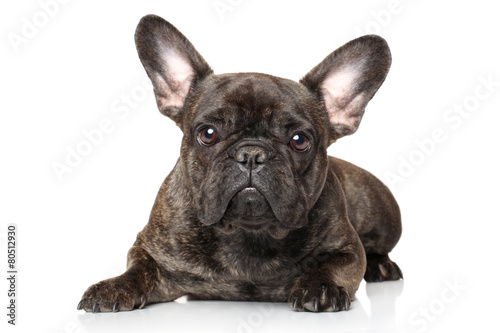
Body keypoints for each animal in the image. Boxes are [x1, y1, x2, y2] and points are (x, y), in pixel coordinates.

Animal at [77, 14, 402, 312]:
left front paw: (322, 287)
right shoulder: (151, 249)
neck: (249, 233)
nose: (252, 154)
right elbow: (139, 268)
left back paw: (381, 266)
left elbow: (337, 264)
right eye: (207, 133)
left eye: (300, 140)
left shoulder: (347, 248)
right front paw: (114, 286)